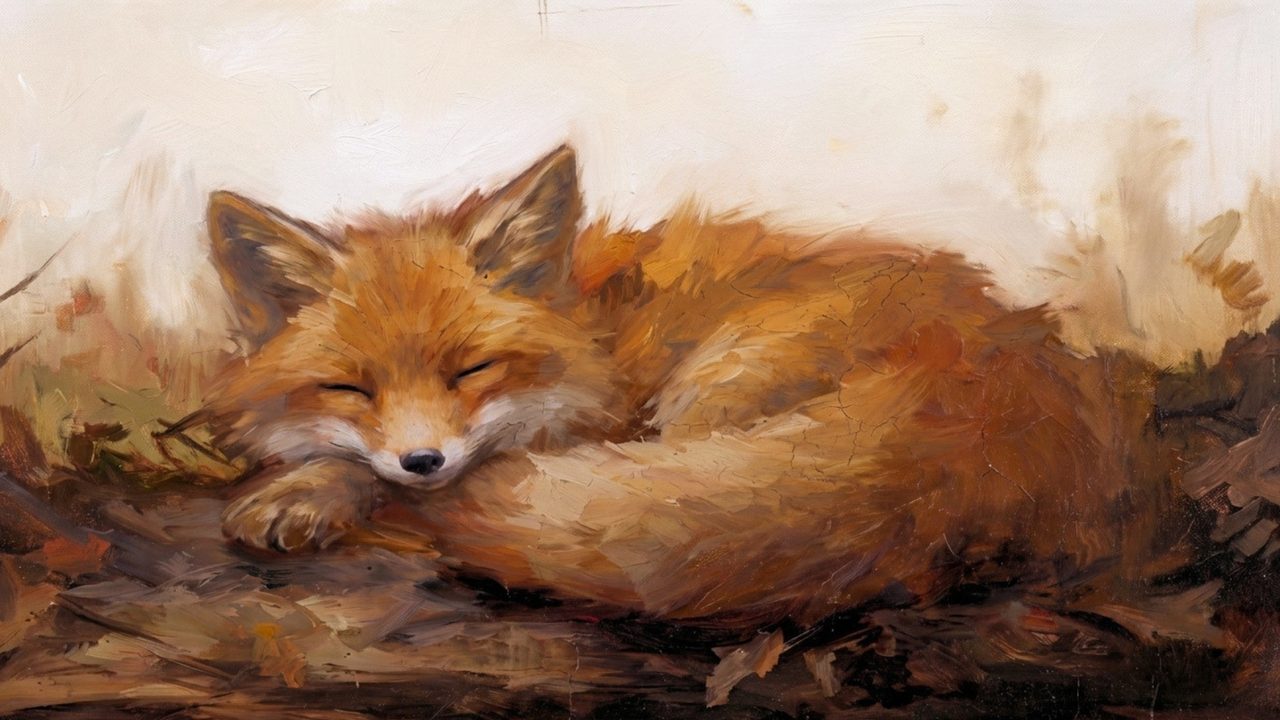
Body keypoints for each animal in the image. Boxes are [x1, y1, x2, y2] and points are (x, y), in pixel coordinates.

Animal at [201, 145, 1194, 625]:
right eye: (351, 388)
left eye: (471, 369)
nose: (422, 461)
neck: (596, 324)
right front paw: (311, 483)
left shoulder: (588, 424)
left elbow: (365, 477)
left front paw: (317, 491)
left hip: (718, 381)